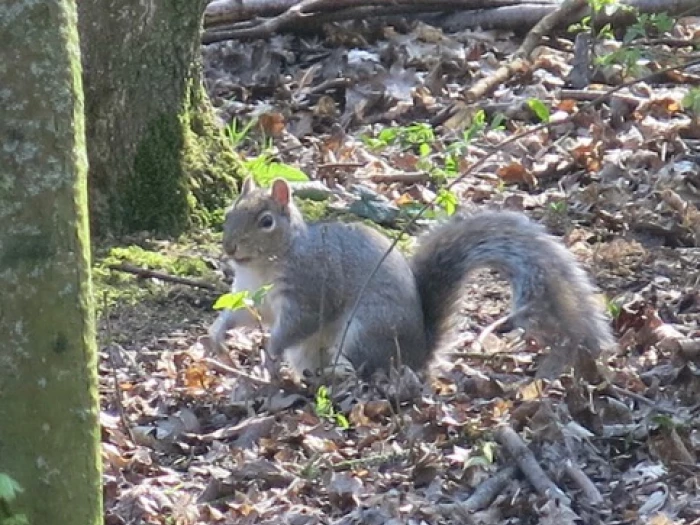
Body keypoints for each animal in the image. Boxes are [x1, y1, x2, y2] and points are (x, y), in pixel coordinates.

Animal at [208, 178, 612, 378]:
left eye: (266, 221)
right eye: (228, 212)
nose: (229, 246)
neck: (262, 266)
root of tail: (418, 354)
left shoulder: (310, 286)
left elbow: (299, 322)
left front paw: (271, 350)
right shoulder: (250, 296)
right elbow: (241, 316)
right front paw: (216, 335)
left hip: (366, 329)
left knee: (366, 367)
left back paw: (338, 373)